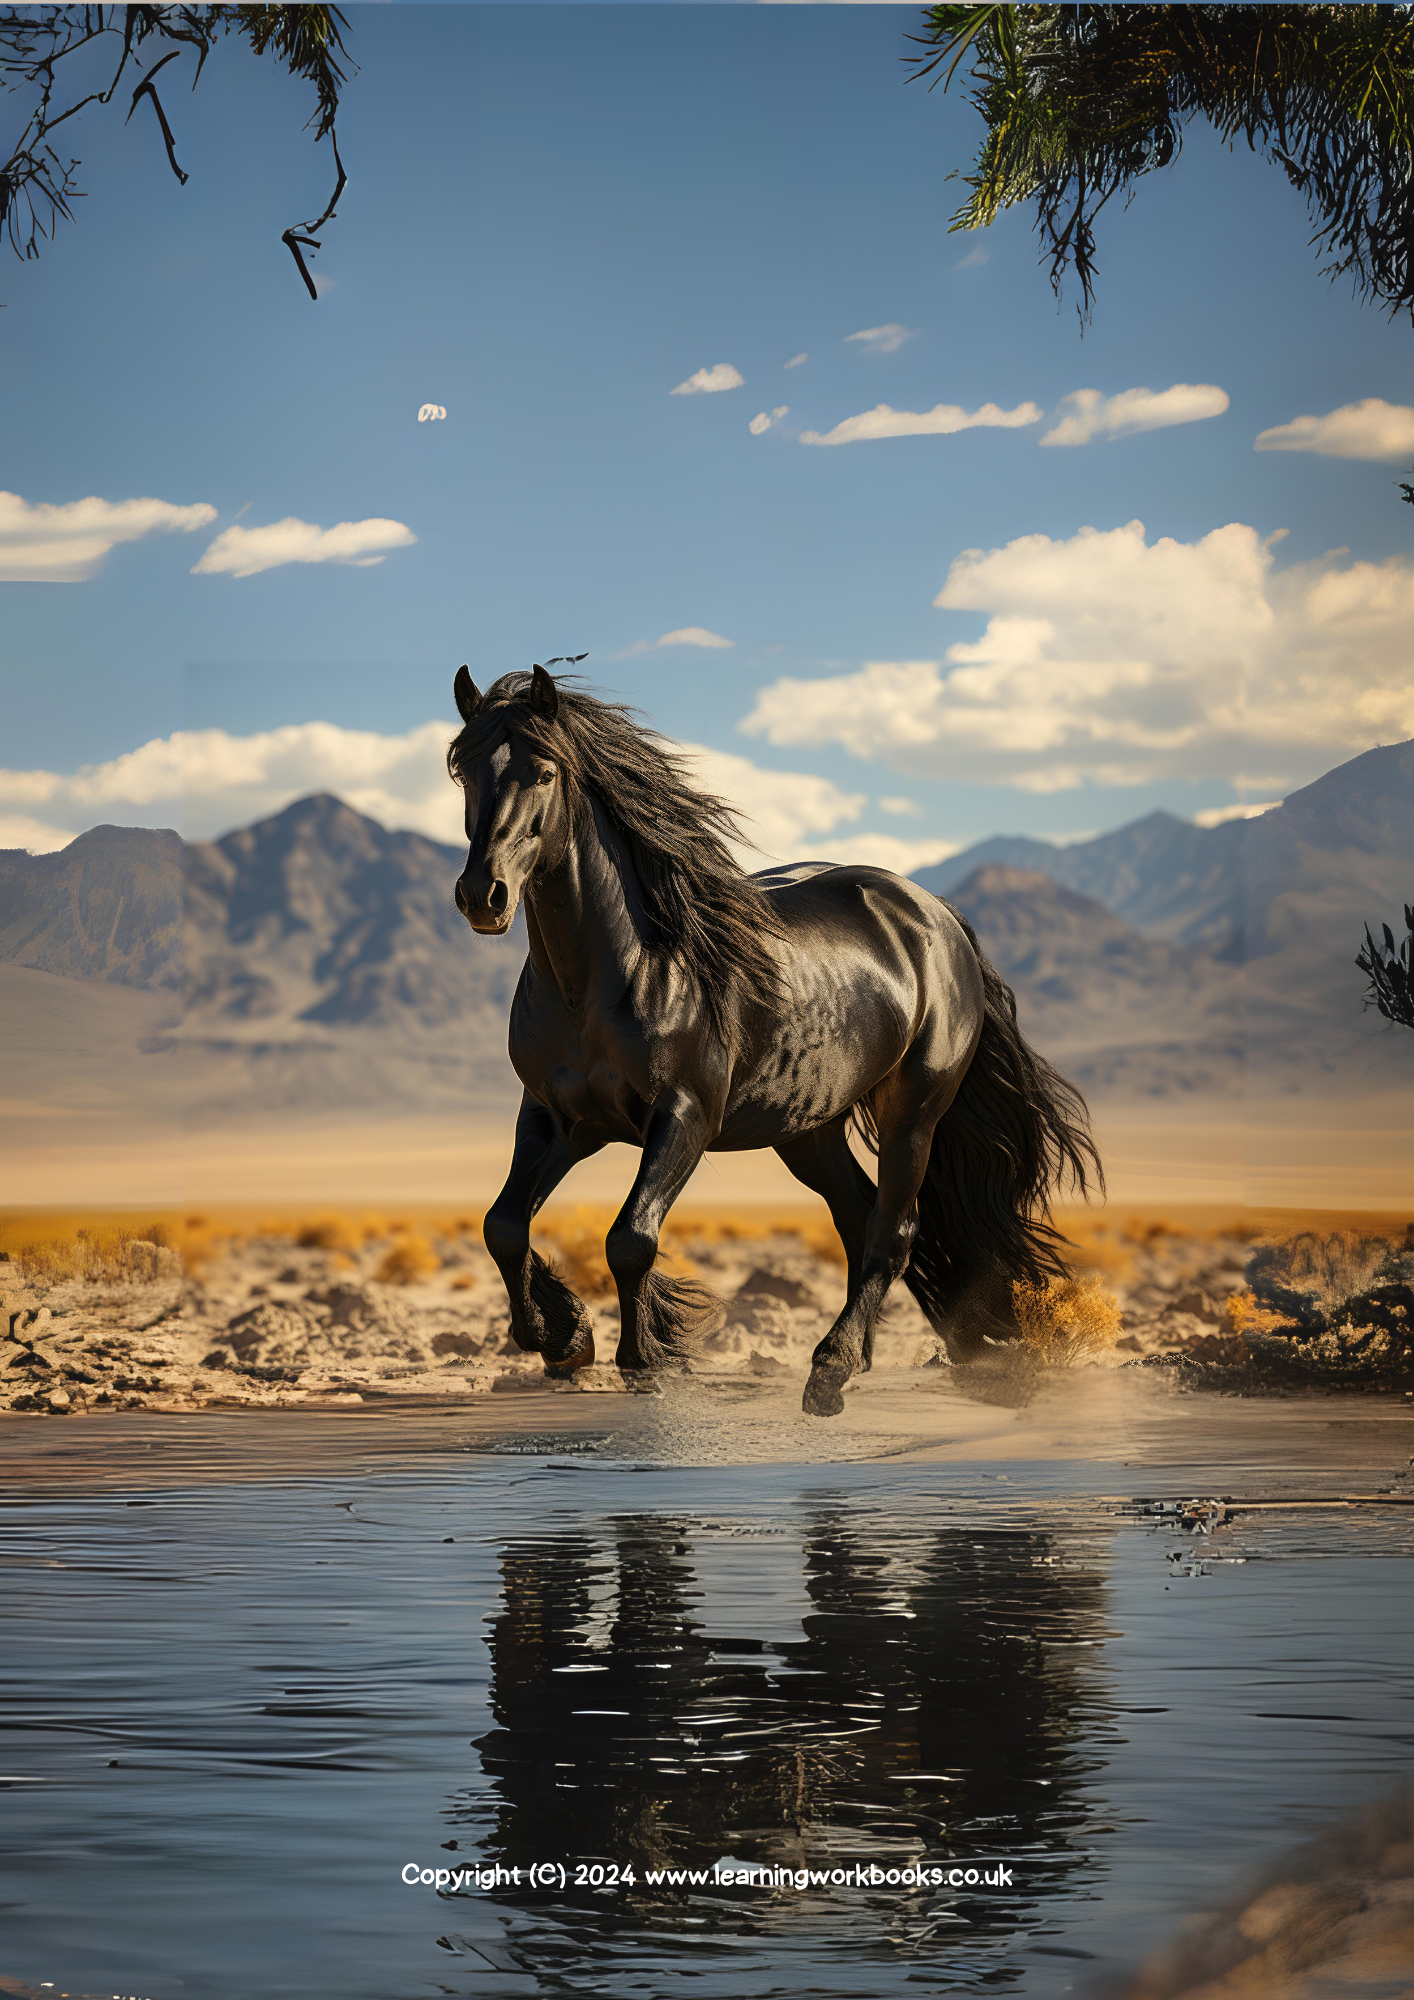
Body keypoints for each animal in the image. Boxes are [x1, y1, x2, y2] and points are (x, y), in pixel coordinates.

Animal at [448, 663, 1100, 1417]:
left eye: (545, 771)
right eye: (463, 770)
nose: (483, 895)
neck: (609, 977)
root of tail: (938, 916)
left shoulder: (684, 1116)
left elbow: (630, 1238)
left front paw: (644, 1361)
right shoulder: (559, 1118)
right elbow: (504, 1226)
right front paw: (565, 1338)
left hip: (913, 1113)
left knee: (894, 1229)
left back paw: (832, 1371)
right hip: (808, 1130)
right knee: (858, 1216)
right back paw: (898, 1354)